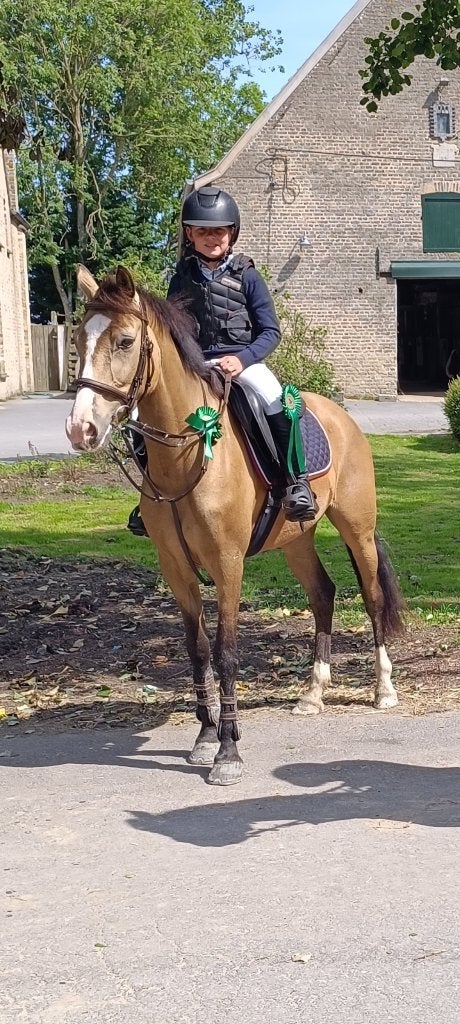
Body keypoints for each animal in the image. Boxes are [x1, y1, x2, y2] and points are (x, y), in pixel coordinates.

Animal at [66, 264, 405, 786]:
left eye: (124, 341)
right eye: (80, 338)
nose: (80, 429)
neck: (187, 456)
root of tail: (339, 415)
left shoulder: (227, 564)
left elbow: (226, 651)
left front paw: (228, 751)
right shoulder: (176, 568)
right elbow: (198, 649)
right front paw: (205, 737)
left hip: (358, 529)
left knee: (371, 597)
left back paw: (383, 689)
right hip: (296, 540)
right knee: (323, 594)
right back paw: (313, 693)